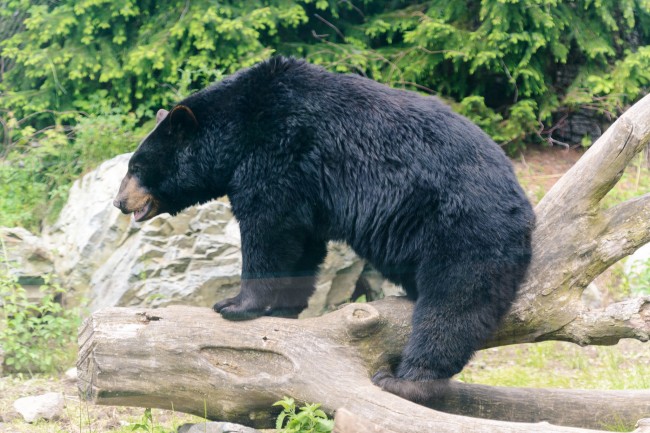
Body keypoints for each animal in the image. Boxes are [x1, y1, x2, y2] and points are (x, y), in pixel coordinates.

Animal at [113, 56, 535, 402]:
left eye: (136, 167)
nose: (119, 202)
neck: (237, 129)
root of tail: (521, 201)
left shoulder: (277, 152)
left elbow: (268, 230)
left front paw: (234, 304)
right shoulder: (305, 186)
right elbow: (301, 243)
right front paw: (284, 309)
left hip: (461, 226)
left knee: (454, 300)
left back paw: (408, 380)